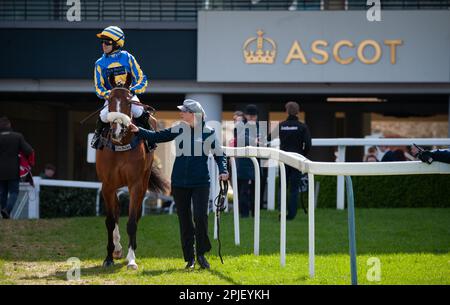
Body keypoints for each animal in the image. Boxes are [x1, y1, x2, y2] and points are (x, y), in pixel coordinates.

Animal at [96, 72, 170, 270]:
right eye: (110, 101)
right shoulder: (107, 185)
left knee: (135, 215)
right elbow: (110, 220)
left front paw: (131, 259)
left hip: (143, 181)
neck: (121, 145)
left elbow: (131, 221)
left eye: (129, 102)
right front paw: (109, 257)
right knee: (115, 212)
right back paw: (117, 249)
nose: (117, 131)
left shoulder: (136, 184)